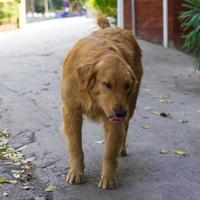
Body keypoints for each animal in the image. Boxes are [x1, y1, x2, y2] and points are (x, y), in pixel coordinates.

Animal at [61, 16, 142, 189]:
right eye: (107, 84)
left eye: (127, 85)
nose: (120, 113)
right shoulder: (71, 111)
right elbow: (76, 146)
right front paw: (77, 172)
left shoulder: (114, 117)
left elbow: (109, 151)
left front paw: (108, 177)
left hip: (130, 107)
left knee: (124, 129)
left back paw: (121, 148)